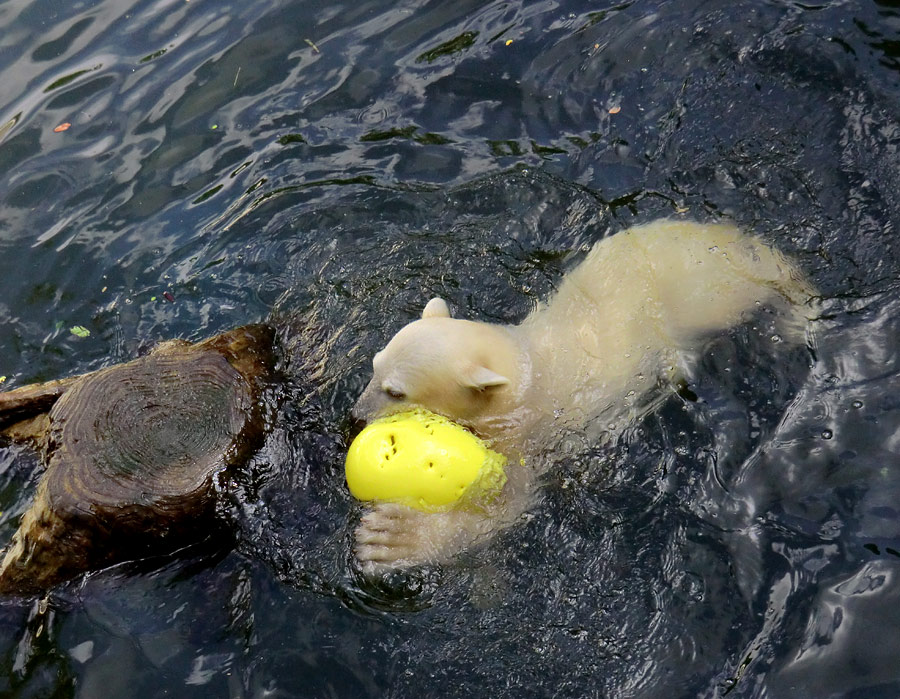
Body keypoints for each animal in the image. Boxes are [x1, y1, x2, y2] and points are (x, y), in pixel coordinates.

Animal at [350, 219, 816, 576]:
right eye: (374, 364)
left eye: (396, 391)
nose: (355, 415)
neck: (525, 368)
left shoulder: (534, 432)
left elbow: (507, 506)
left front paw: (390, 538)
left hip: (713, 297)